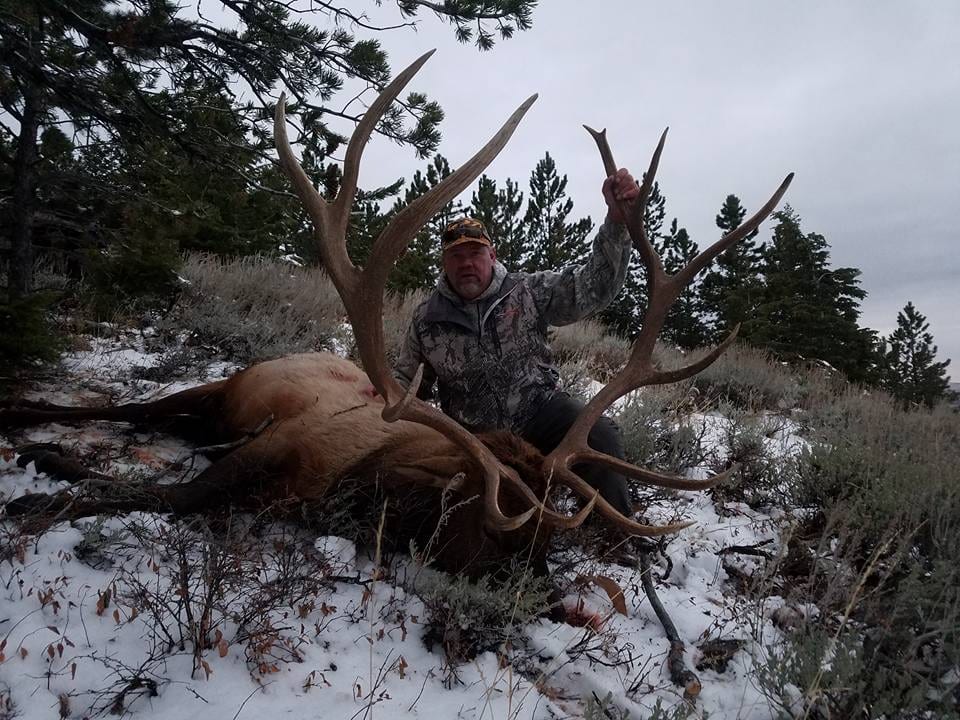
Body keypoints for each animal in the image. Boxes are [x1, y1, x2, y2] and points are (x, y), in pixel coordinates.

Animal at [1, 50, 792, 686]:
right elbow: (163, 495)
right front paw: (37, 500)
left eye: (545, 546)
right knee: (126, 409)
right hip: (219, 389)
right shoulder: (273, 446)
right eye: (498, 538)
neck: (363, 485)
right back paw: (29, 427)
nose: (545, 603)